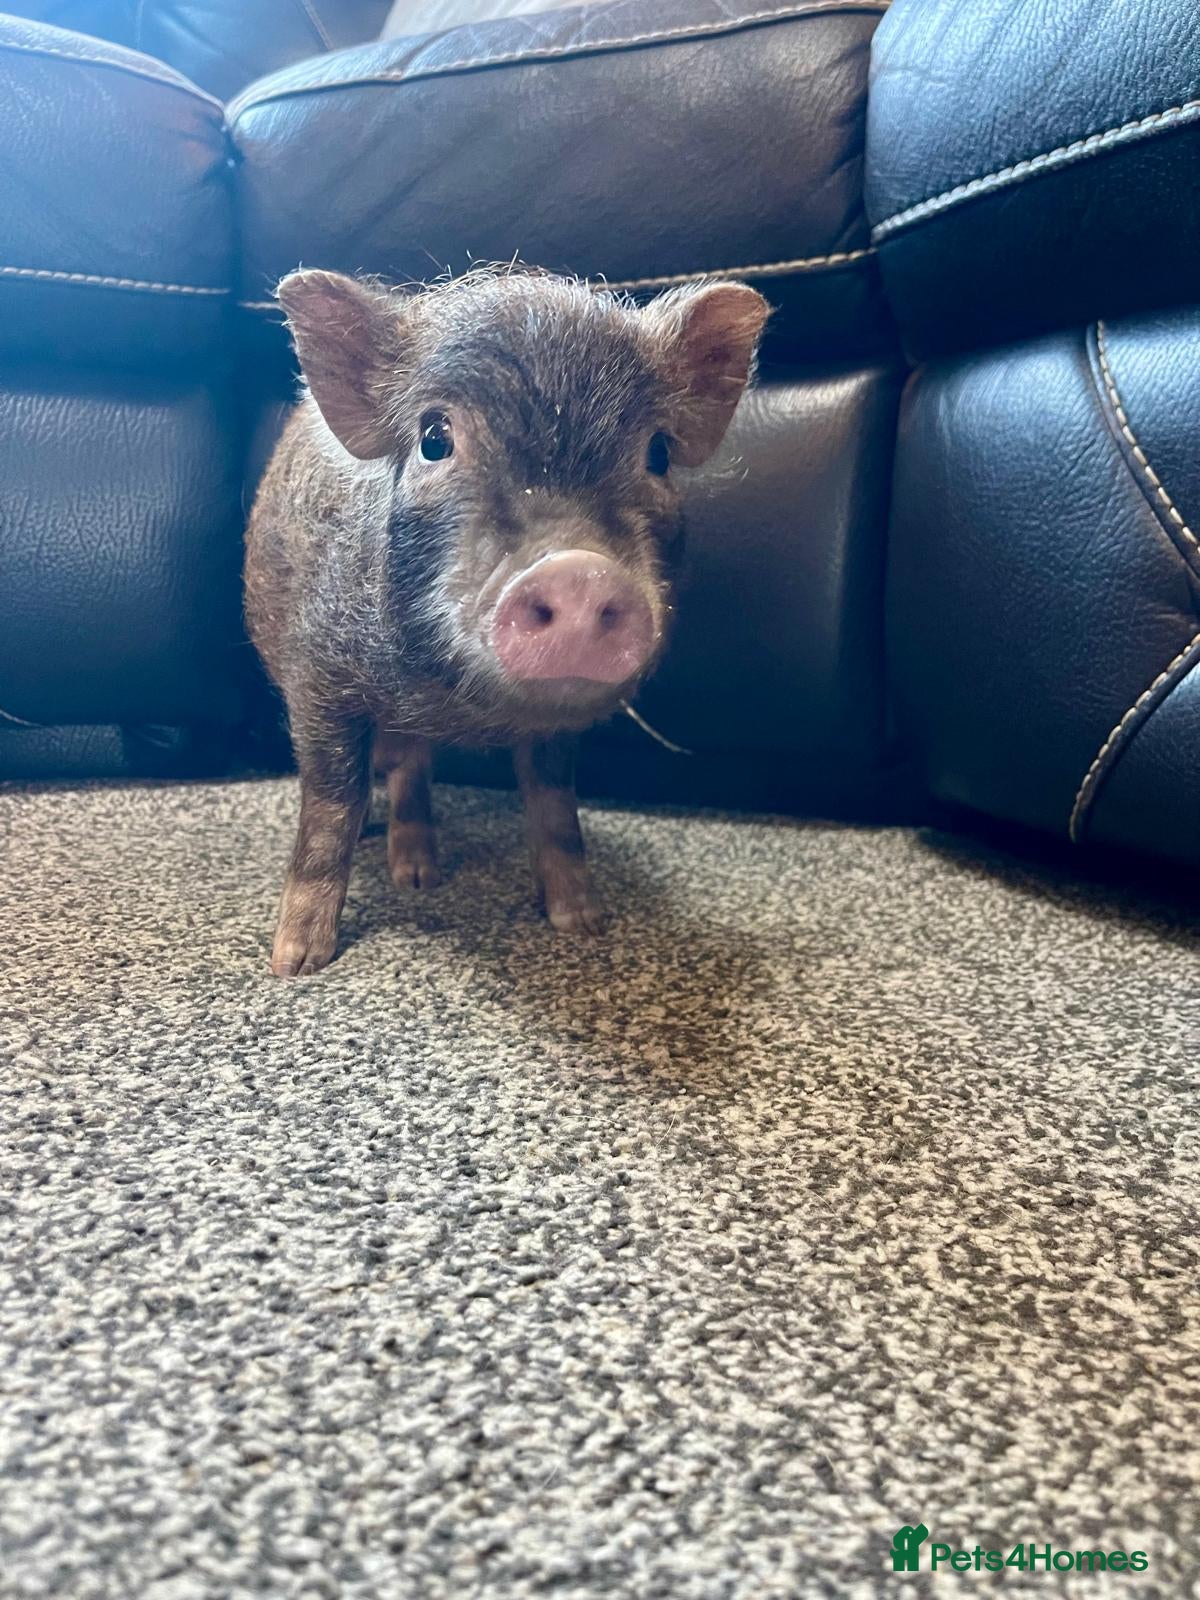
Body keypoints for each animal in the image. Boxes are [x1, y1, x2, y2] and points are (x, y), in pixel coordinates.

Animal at [245, 266, 769, 976]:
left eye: (657, 452)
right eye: (434, 439)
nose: (579, 570)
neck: (464, 710)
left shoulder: (557, 724)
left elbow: (554, 807)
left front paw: (583, 924)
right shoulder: (317, 680)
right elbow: (331, 806)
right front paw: (295, 963)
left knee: (412, 767)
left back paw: (421, 876)